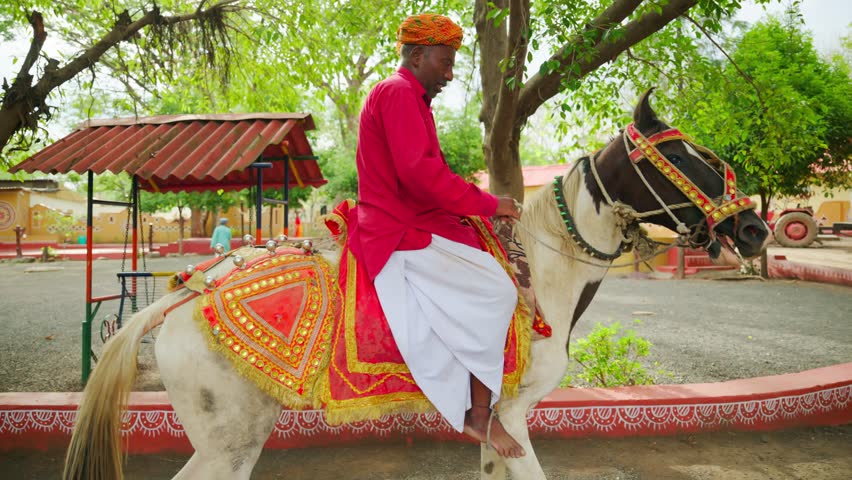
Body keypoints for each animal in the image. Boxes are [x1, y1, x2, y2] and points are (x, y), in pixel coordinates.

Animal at [63, 89, 769, 480]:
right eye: (678, 156)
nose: (754, 227)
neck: (546, 272)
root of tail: (184, 295)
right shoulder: (513, 415)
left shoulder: (500, 427)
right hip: (230, 441)